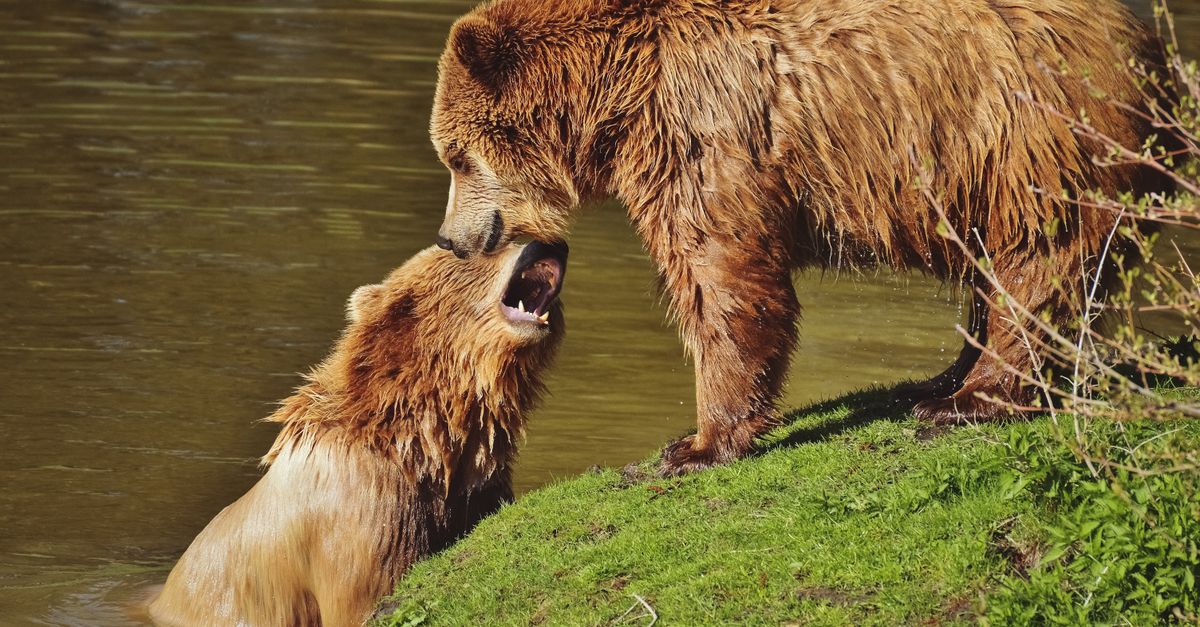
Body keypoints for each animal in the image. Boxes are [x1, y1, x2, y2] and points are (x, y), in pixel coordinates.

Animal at [428, 0, 1175, 475]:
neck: (617, 90)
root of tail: (1148, 42)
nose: (451, 238)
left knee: (1039, 258)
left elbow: (722, 276)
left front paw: (695, 444)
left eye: (456, 156)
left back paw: (968, 399)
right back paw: (940, 377)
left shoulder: (703, 132)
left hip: (1025, 131)